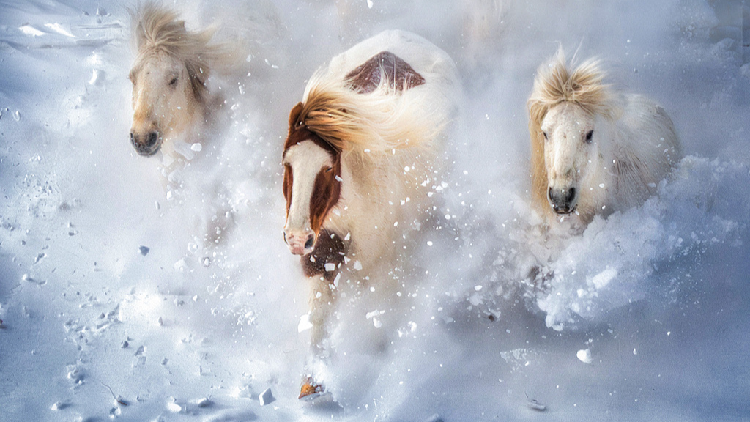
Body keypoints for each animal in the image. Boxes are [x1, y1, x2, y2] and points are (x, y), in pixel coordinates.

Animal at [281, 30, 460, 398]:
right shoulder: (325, 250)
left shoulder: (382, 260)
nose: (296, 238)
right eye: (286, 163)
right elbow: (320, 315)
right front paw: (311, 385)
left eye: (328, 168)